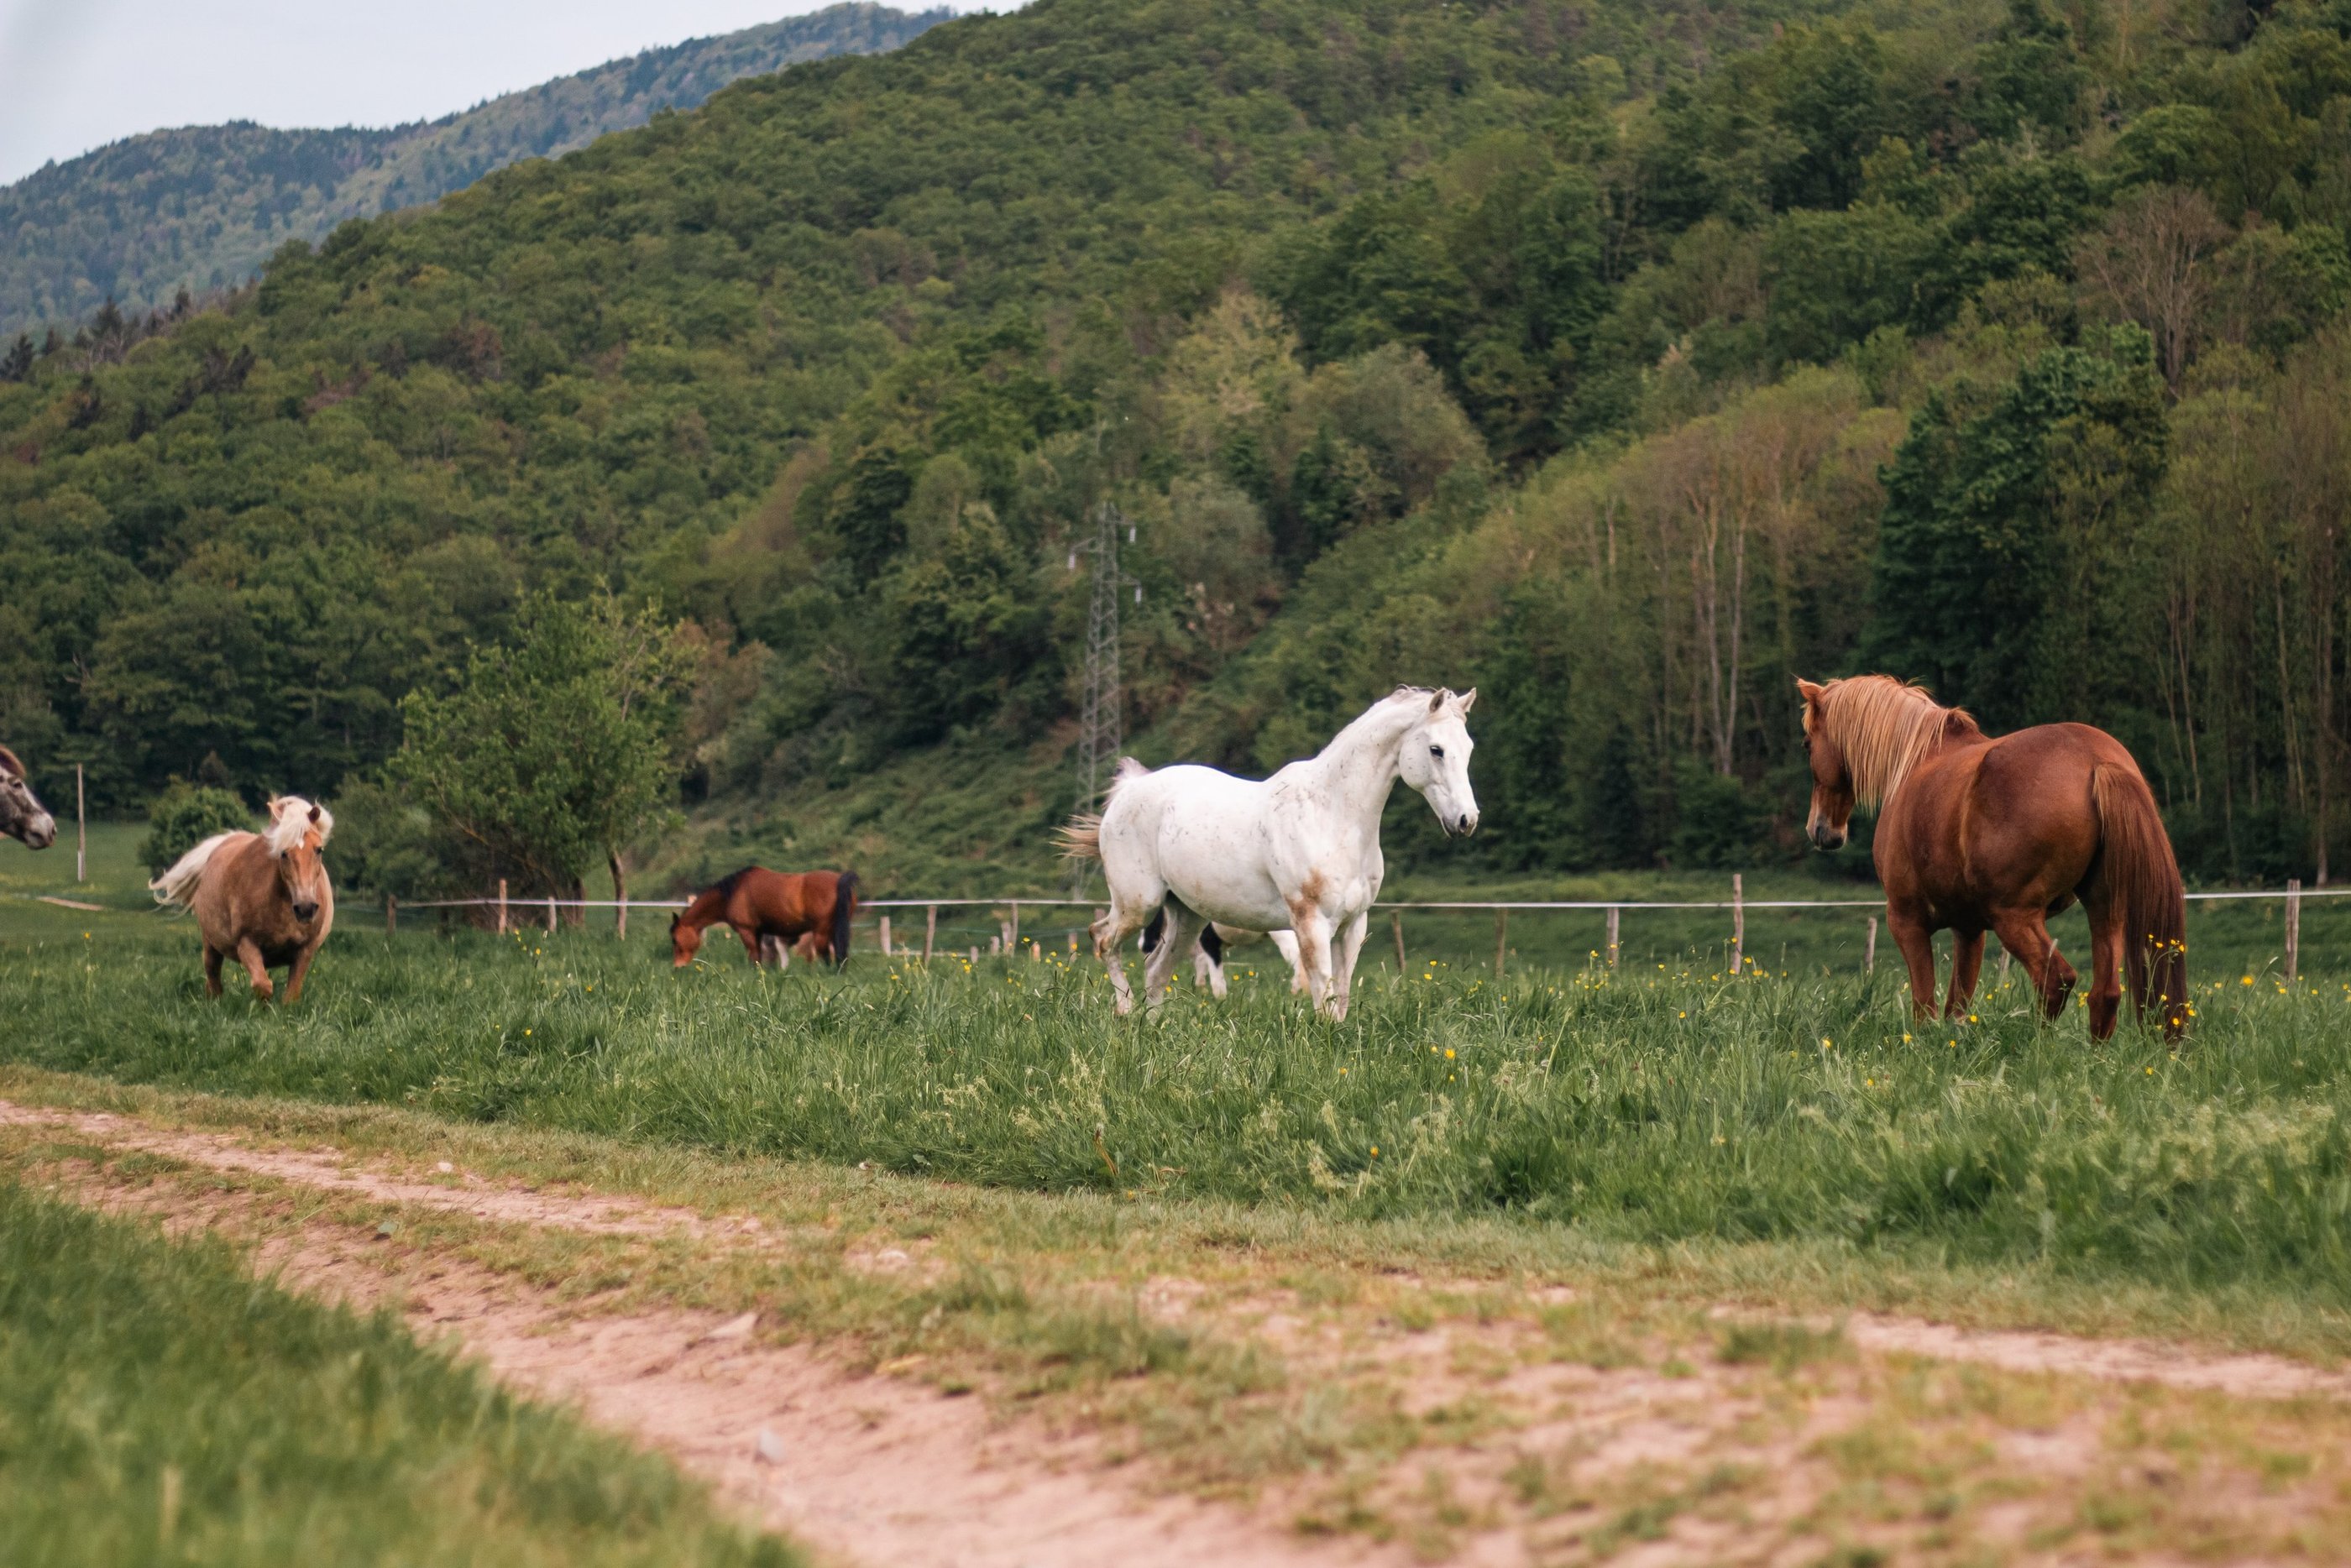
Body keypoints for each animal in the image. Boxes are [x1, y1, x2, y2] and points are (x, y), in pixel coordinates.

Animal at [150, 796, 336, 1003]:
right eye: (283, 852)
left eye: (318, 850)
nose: (305, 908)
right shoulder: (247, 943)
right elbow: (263, 986)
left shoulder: (304, 951)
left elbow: (291, 995)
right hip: (210, 944)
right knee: (213, 978)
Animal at [671, 867, 858, 970]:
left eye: (675, 939)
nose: (678, 966)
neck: (734, 892)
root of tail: (839, 880)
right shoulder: (759, 932)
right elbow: (760, 956)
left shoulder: (747, 931)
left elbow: (754, 956)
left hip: (822, 931)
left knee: (826, 954)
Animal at [1062, 685, 1479, 1019]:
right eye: (1436, 750)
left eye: (1468, 749)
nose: (1466, 820)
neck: (1333, 814)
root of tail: (1128, 791)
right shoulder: (1311, 924)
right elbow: (1324, 997)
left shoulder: (1352, 925)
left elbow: (1341, 997)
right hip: (1138, 904)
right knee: (1103, 940)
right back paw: (1125, 1011)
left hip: (1187, 916)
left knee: (1155, 970)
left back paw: (1152, 1028)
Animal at [1796, 675, 2186, 1041]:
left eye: (1807, 744)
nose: (1821, 829)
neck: (1915, 762)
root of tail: (2095, 760)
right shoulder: (1969, 930)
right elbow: (1956, 1009)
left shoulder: (1907, 921)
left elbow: (1925, 1008)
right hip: (2105, 910)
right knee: (2104, 995)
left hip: (2014, 916)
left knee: (2055, 980)